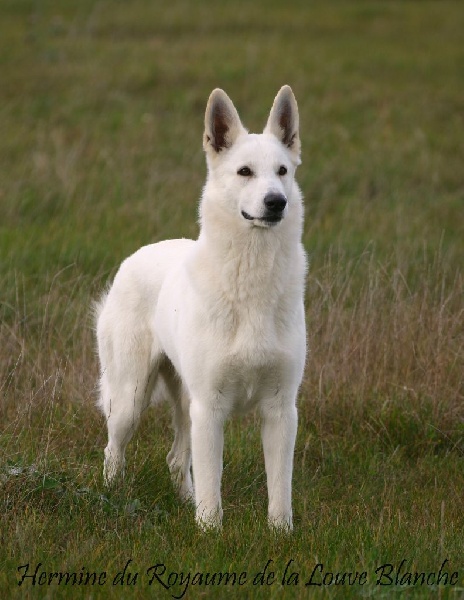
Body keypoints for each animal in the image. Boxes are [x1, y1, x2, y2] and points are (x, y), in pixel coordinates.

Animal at [95, 85, 306, 530]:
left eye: (282, 171)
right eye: (245, 172)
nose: (276, 202)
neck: (251, 279)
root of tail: (134, 256)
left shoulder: (281, 410)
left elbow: (280, 491)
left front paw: (281, 535)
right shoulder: (211, 408)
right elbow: (213, 487)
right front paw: (210, 533)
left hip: (186, 406)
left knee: (177, 459)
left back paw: (184, 502)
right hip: (131, 400)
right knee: (113, 449)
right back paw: (112, 495)